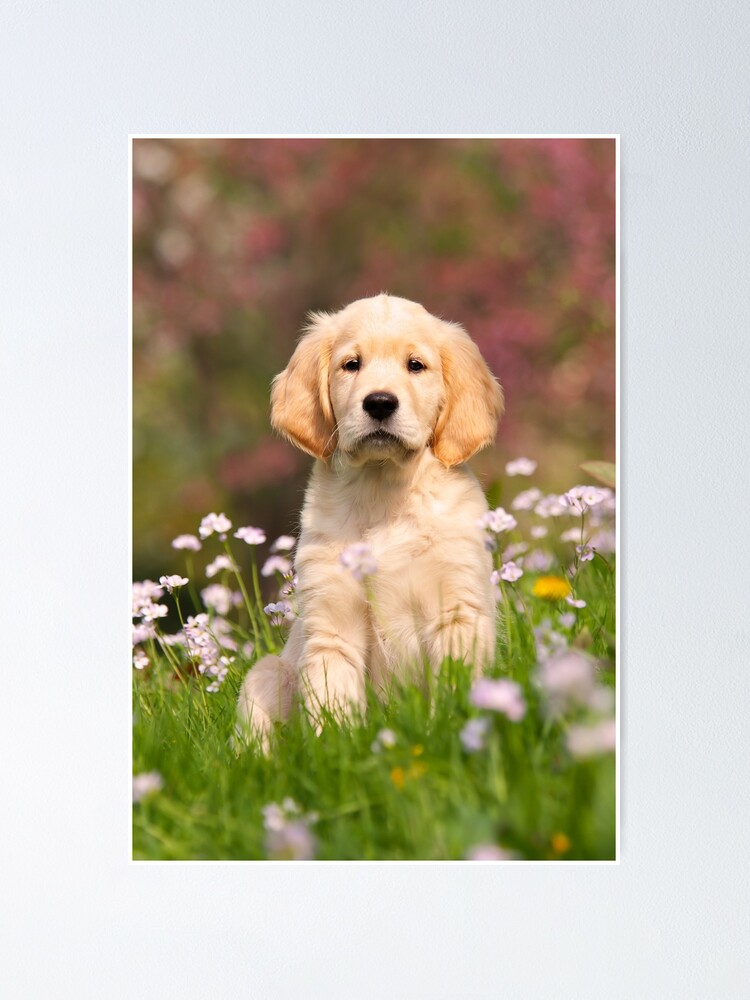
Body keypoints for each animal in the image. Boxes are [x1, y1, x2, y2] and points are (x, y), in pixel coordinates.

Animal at [238, 292, 502, 748]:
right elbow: (334, 707)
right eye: (351, 364)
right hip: (266, 672)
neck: (383, 491)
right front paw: (339, 753)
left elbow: (454, 693)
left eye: (416, 365)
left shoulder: (456, 610)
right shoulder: (332, 626)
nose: (379, 402)